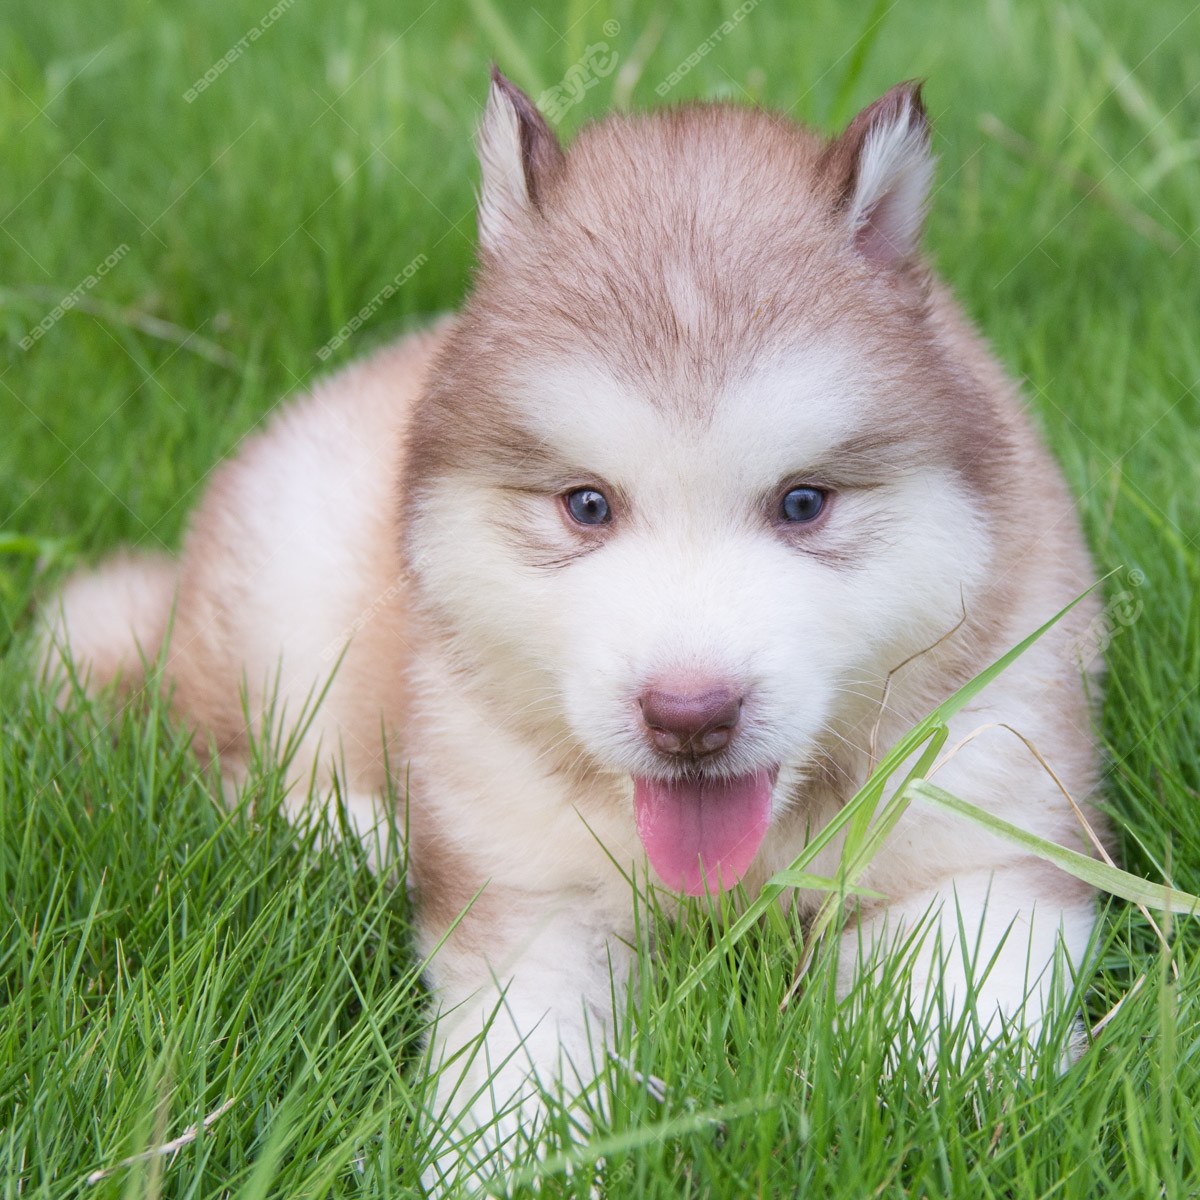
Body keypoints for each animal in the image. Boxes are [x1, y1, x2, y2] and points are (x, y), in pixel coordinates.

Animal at [42, 75, 1099, 1190]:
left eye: (804, 503)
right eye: (586, 506)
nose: (691, 714)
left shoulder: (992, 834)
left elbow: (959, 1025)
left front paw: (935, 1121)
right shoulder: (529, 899)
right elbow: (521, 1061)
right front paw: (517, 1160)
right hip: (290, 596)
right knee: (229, 769)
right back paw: (365, 834)